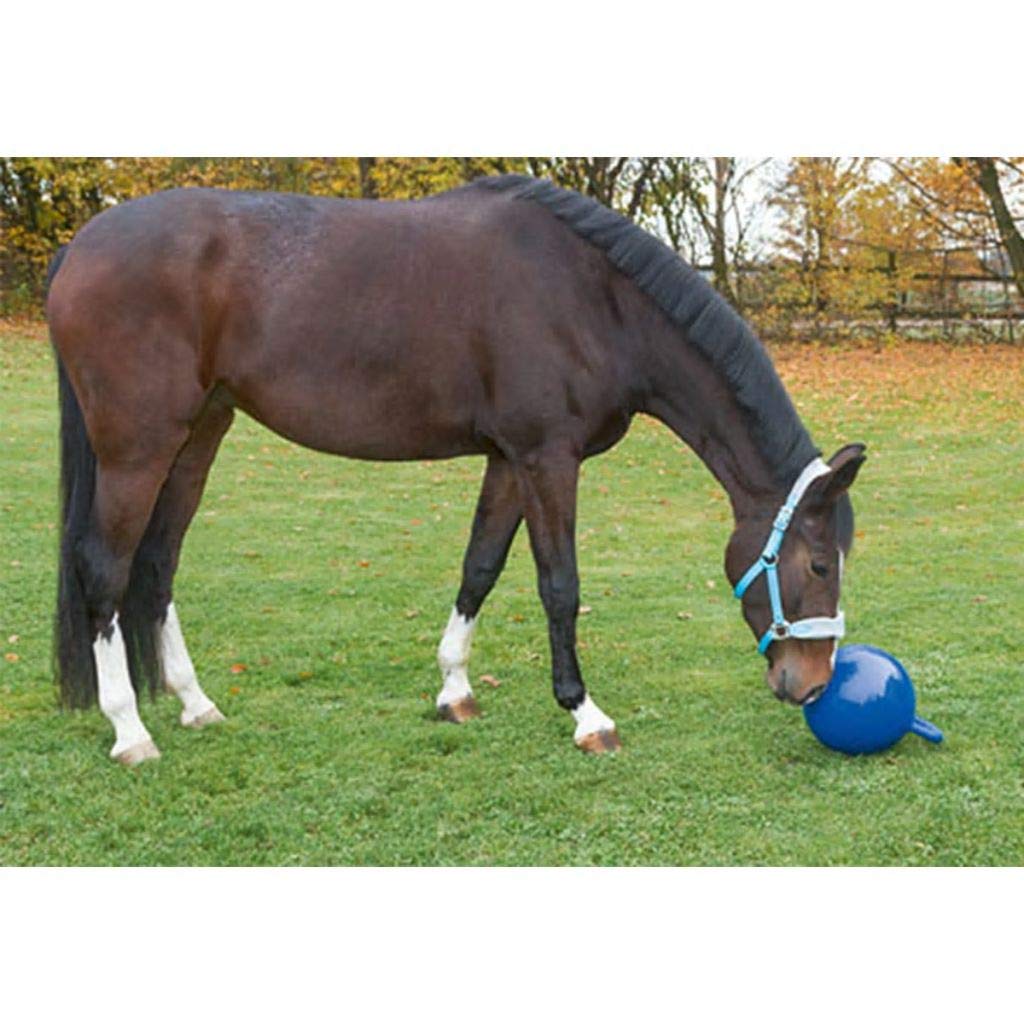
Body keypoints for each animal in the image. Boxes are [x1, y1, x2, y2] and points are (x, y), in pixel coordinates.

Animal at [46, 174, 865, 766]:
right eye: (819, 564)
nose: (812, 684)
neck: (595, 302)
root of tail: (81, 246)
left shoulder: (508, 460)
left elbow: (481, 567)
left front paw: (454, 690)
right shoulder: (546, 458)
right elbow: (559, 585)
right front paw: (585, 714)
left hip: (198, 437)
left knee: (157, 564)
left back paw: (195, 704)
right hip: (137, 447)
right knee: (105, 570)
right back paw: (130, 731)